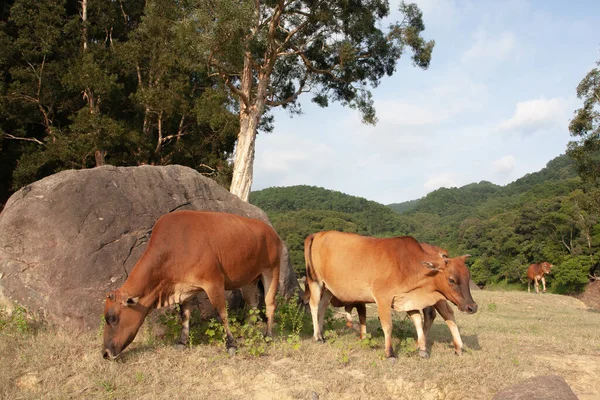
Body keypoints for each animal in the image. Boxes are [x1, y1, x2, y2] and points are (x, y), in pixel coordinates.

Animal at [102, 211, 282, 360]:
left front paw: (230, 344)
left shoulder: (214, 282)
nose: (105, 353)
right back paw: (247, 331)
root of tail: (271, 231)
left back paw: (268, 335)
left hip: (272, 270)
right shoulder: (183, 289)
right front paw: (182, 342)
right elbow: (185, 315)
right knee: (252, 305)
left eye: (112, 318)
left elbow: (221, 314)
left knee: (270, 304)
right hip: (249, 279)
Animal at [304, 231, 478, 360]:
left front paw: (422, 349)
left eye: (468, 277)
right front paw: (390, 353)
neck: (406, 264)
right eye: (451, 279)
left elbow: (417, 320)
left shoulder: (406, 299)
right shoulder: (383, 298)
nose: (472, 307)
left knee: (322, 307)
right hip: (316, 281)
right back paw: (317, 336)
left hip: (327, 288)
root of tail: (317, 234)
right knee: (314, 306)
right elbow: (387, 325)